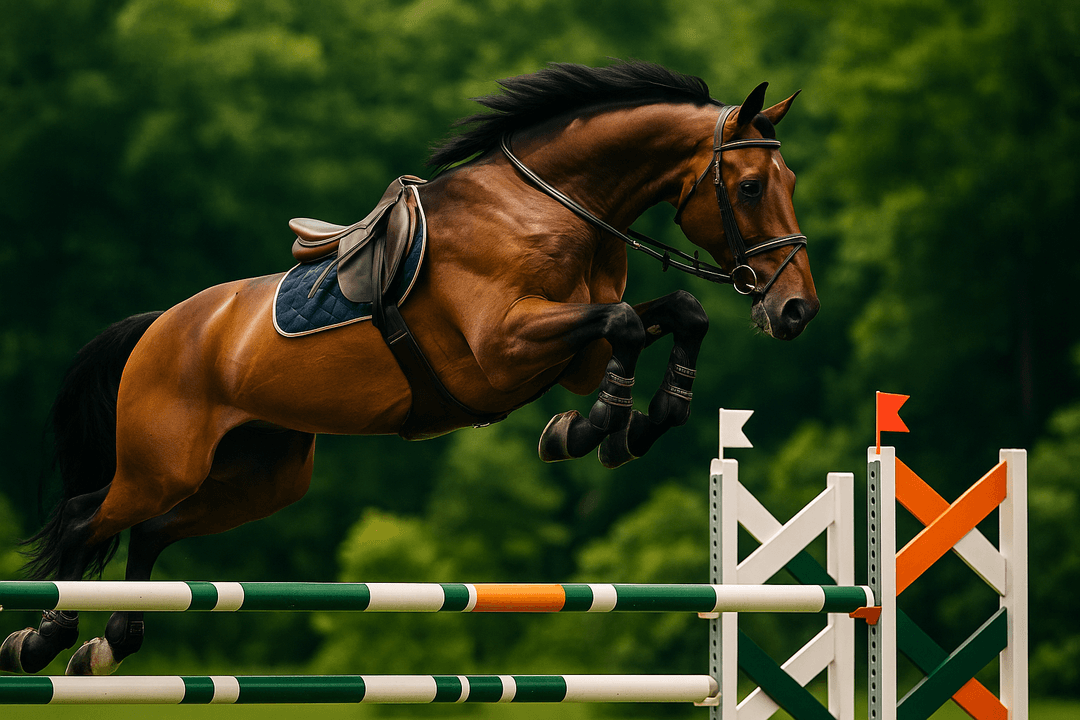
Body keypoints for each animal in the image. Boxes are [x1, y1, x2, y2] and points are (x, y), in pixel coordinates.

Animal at [1, 61, 817, 676]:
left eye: (792, 182)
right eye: (751, 187)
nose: (796, 311)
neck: (556, 207)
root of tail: (160, 327)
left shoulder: (574, 352)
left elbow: (678, 311)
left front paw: (631, 425)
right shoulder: (503, 346)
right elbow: (623, 324)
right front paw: (594, 430)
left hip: (262, 476)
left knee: (148, 533)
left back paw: (111, 643)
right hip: (162, 464)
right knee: (86, 519)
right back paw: (43, 638)